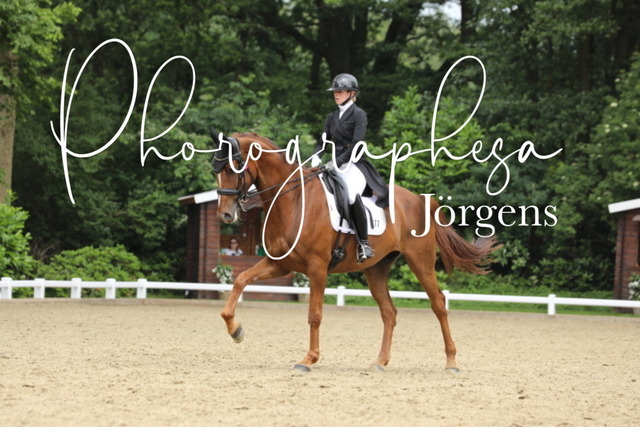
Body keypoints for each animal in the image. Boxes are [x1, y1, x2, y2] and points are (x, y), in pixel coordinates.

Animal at [212, 131, 500, 372]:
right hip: (376, 269)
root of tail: (420, 200)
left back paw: (451, 361)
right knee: (389, 313)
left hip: (420, 261)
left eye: (233, 167)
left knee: (438, 303)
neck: (294, 201)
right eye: (216, 169)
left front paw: (309, 359)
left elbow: (314, 315)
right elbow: (240, 280)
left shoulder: (317, 268)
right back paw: (380, 362)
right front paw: (235, 330)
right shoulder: (280, 264)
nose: (225, 215)